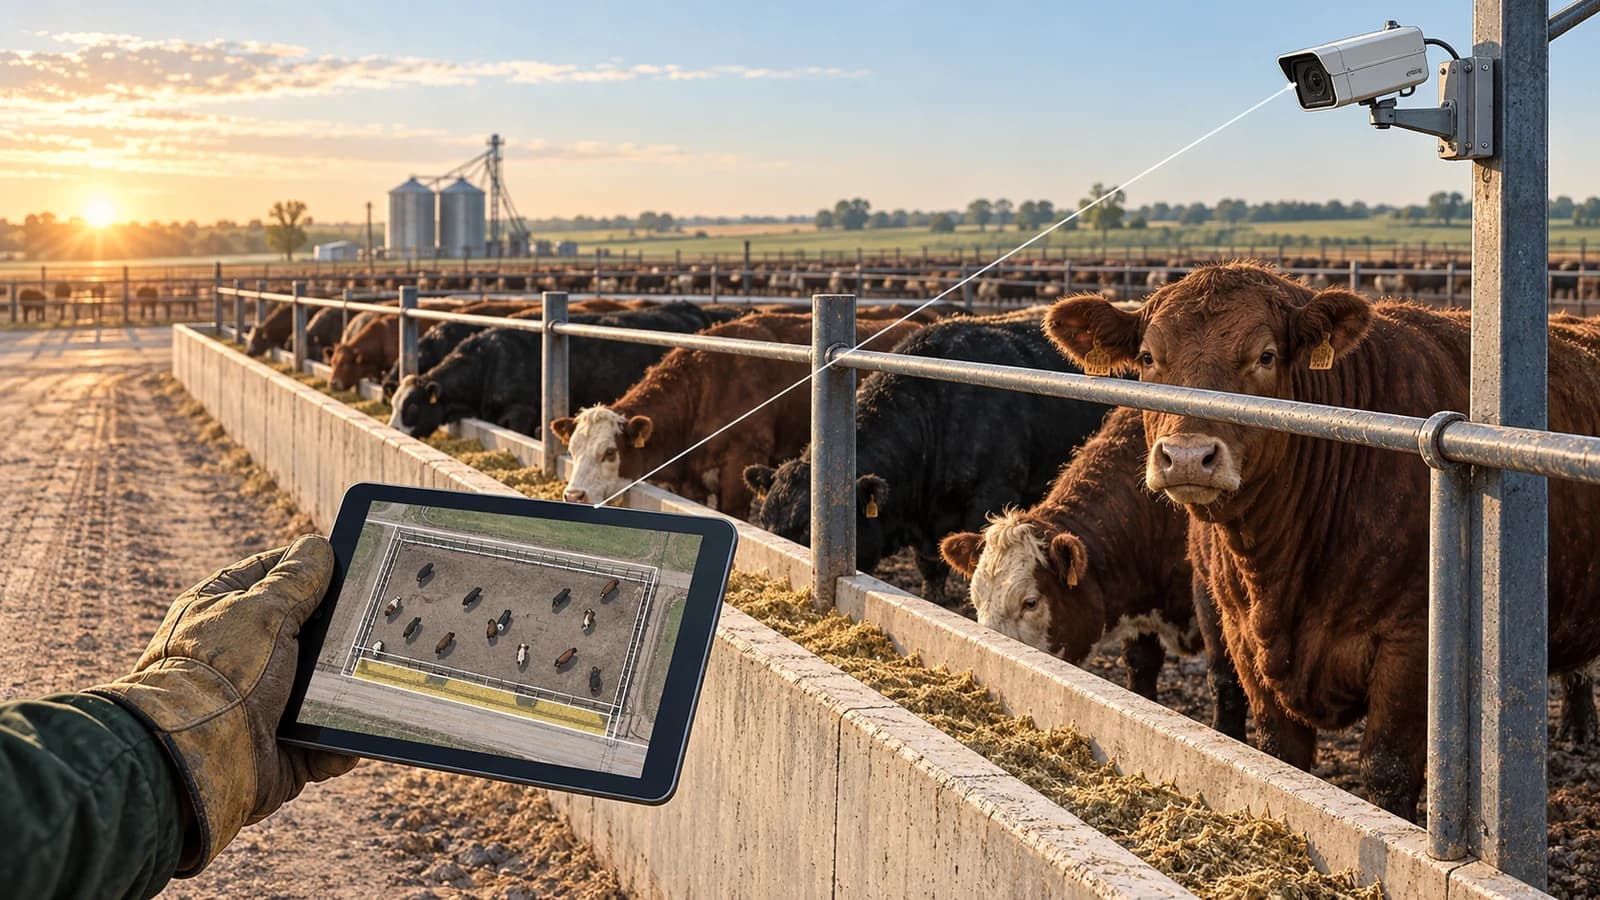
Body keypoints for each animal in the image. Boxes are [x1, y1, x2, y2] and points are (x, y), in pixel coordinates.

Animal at [549, 313, 924, 512]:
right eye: (572, 450)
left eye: (610, 452)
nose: (573, 495)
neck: (704, 389)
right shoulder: (693, 480)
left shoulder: (742, 462)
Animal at [1044, 261, 1600, 818]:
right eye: (1147, 357)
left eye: (1265, 355)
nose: (1186, 456)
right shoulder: (1243, 641)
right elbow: (1279, 755)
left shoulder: (1412, 646)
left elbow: (1388, 772)